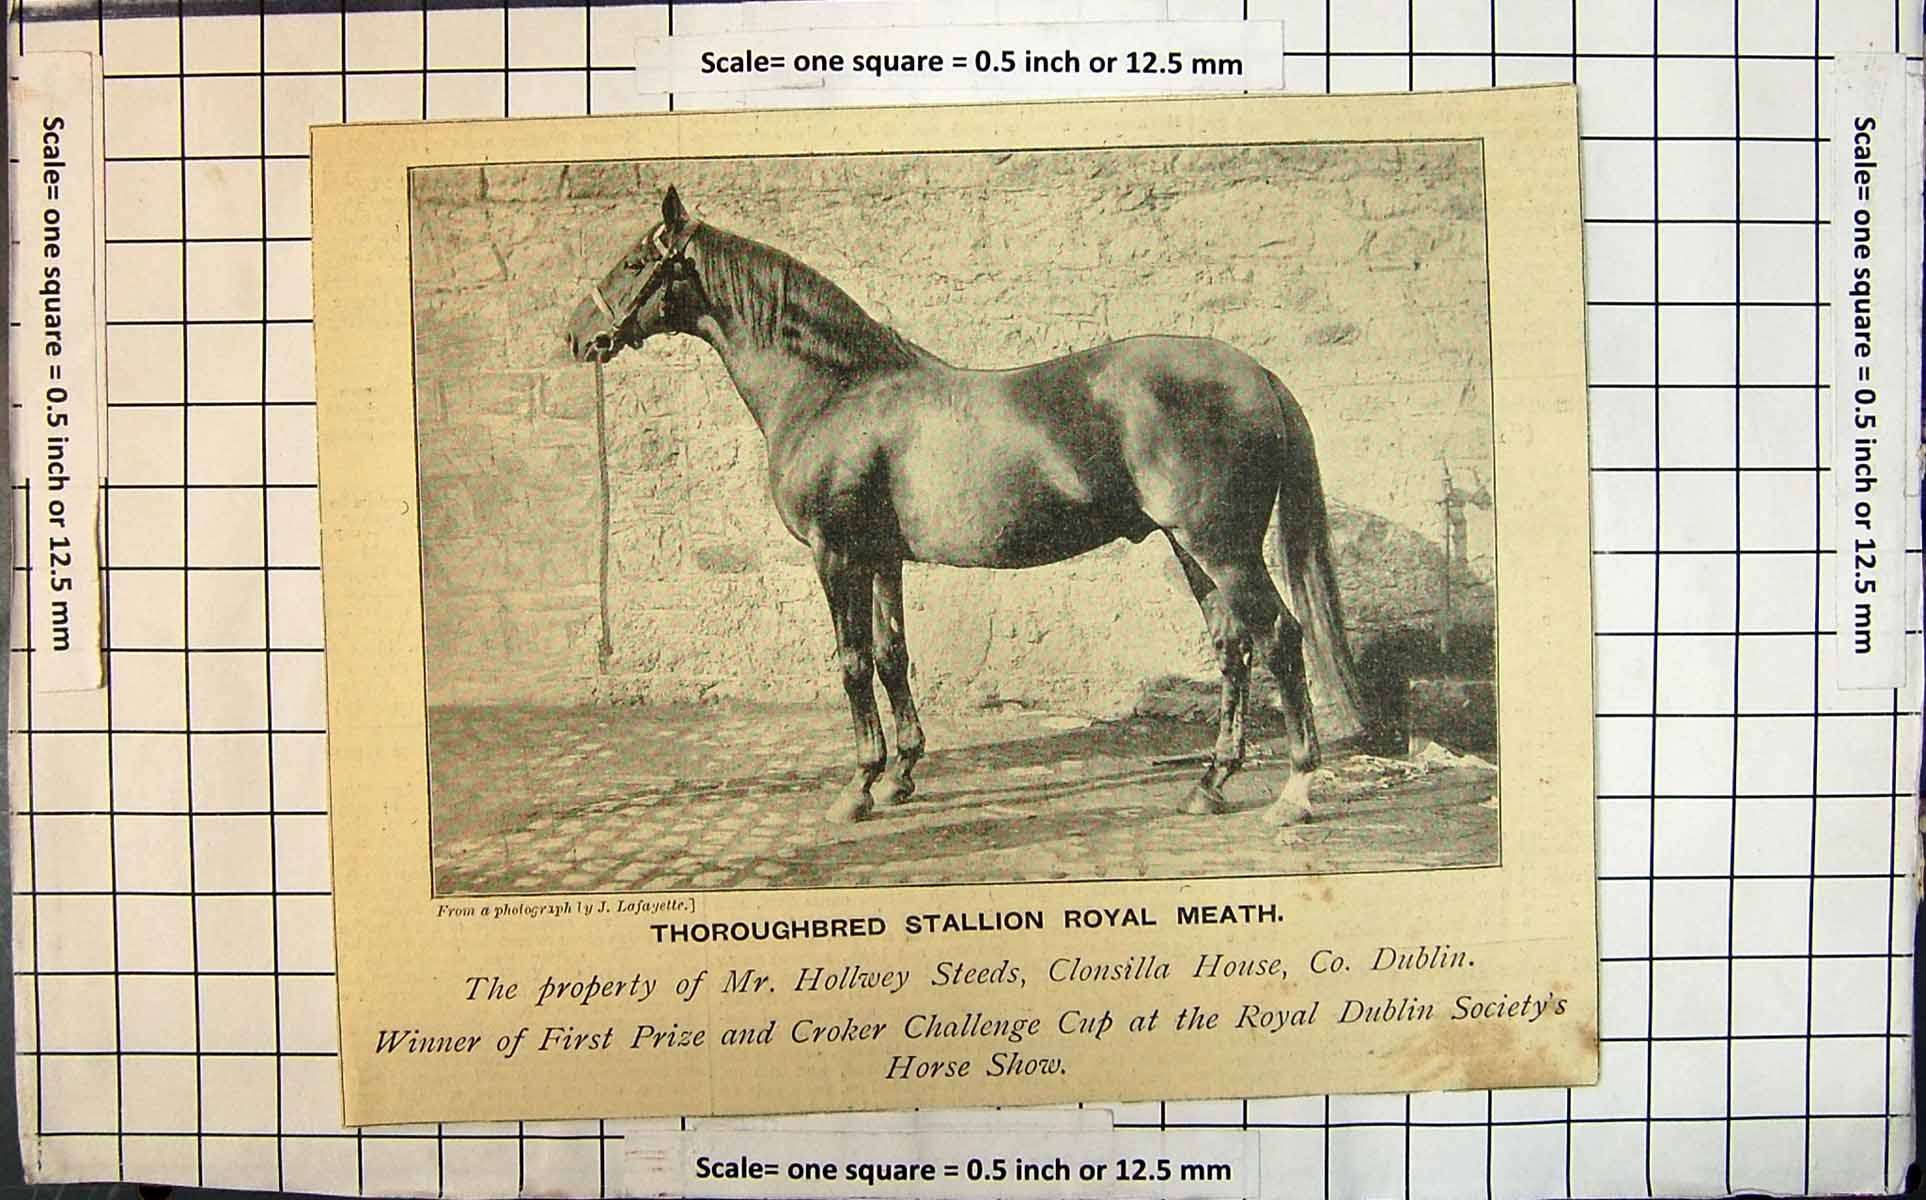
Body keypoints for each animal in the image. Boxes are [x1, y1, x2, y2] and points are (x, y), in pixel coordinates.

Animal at [565, 187, 1364, 825]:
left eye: (635, 263)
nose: (577, 334)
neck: (838, 390)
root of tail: (1255, 372)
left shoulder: (836, 554)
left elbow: (852, 662)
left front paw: (858, 787)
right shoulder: (881, 556)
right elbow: (892, 657)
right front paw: (901, 776)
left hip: (1219, 546)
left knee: (1280, 638)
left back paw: (1295, 793)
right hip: (1189, 547)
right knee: (1233, 648)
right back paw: (1209, 783)